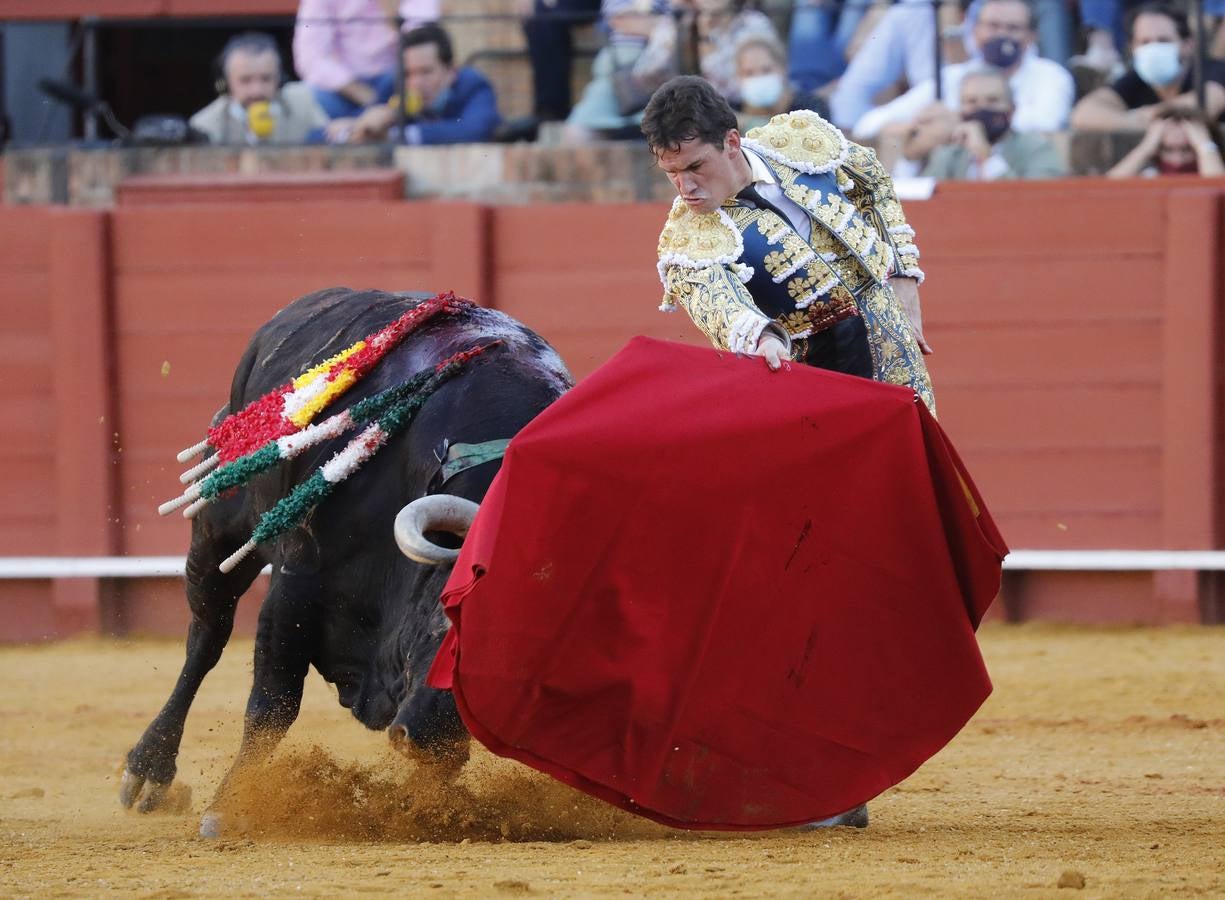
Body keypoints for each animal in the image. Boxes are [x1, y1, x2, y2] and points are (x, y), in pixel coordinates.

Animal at [118, 290, 573, 822]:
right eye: (446, 616)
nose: (420, 739)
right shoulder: (297, 580)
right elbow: (272, 703)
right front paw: (231, 806)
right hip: (219, 529)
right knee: (207, 637)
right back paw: (149, 769)